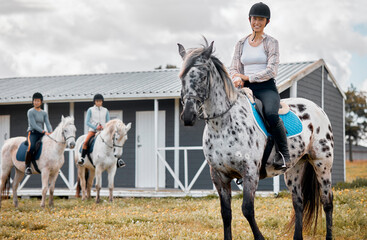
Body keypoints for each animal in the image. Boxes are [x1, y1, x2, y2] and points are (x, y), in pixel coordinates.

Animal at [177, 39, 334, 240]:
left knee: (327, 202)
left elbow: (247, 209)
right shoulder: (219, 175)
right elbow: (226, 213)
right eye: (182, 77)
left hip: (322, 164)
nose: (188, 116)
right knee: (298, 203)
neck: (222, 124)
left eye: (203, 76)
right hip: (295, 168)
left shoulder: (250, 172)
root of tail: (318, 108)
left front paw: (260, 237)